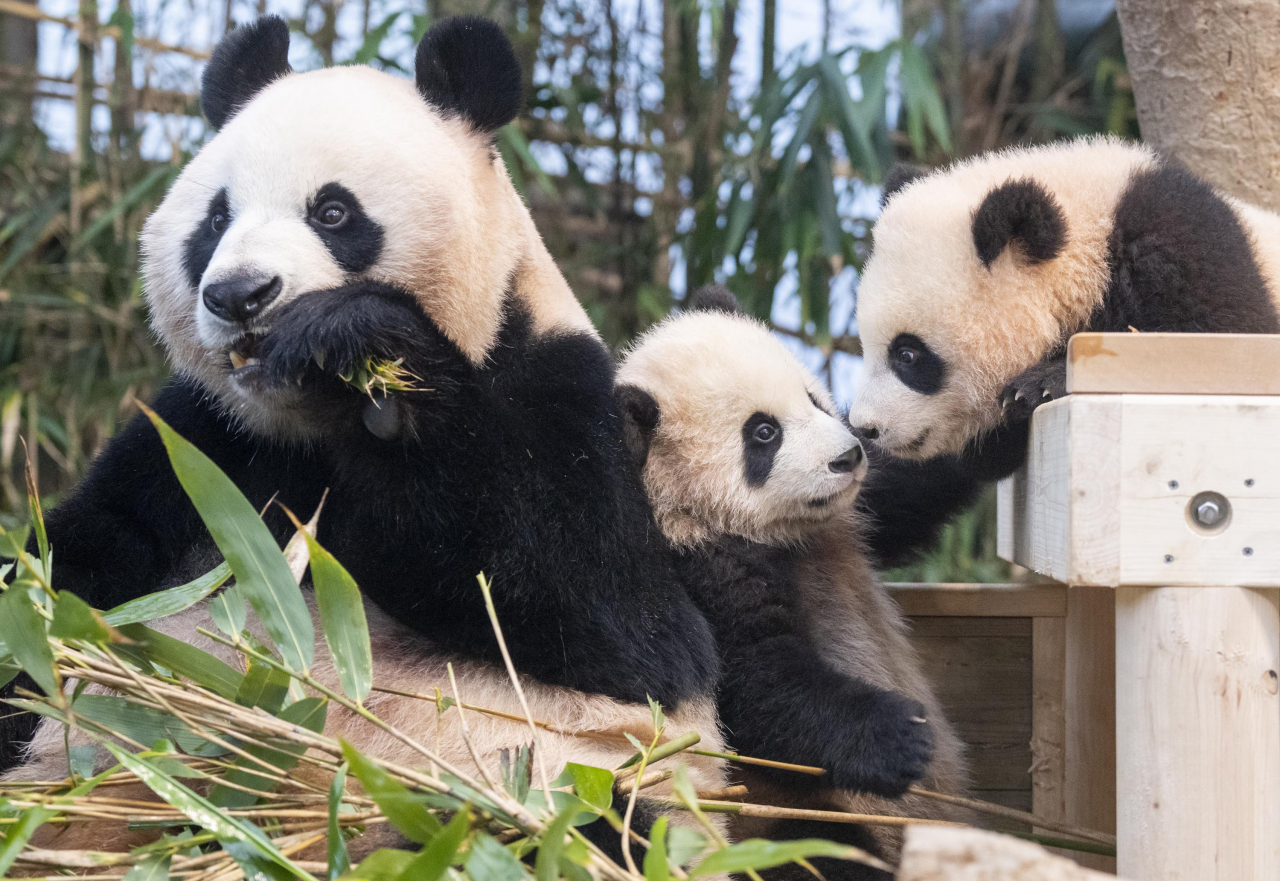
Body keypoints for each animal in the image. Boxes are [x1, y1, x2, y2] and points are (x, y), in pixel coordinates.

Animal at [0, 10, 727, 855]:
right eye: (216, 219)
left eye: (334, 213)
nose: (239, 294)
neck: (306, 418)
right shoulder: (202, 439)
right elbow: (78, 562)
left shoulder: (565, 390)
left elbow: (623, 625)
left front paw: (364, 353)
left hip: (551, 790)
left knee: (573, 826)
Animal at [614, 289, 962, 875]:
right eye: (764, 433)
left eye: (815, 400)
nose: (847, 457)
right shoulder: (700, 571)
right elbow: (761, 684)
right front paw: (902, 736)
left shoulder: (855, 512)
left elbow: (913, 483)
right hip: (786, 819)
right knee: (821, 849)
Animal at [849, 137, 1280, 548]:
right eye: (865, 346)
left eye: (907, 354)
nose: (865, 428)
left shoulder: (1186, 247)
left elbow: (1221, 346)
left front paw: (1040, 385)